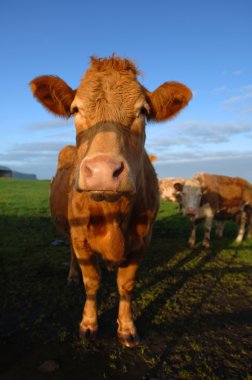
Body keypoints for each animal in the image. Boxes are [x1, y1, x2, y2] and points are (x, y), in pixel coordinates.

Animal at [29, 55, 192, 348]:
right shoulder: (81, 237)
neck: (113, 214)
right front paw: (89, 324)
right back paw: (72, 275)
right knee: (72, 256)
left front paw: (127, 328)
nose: (103, 170)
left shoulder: (142, 240)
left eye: (143, 111)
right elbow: (92, 282)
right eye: (75, 109)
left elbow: (126, 285)